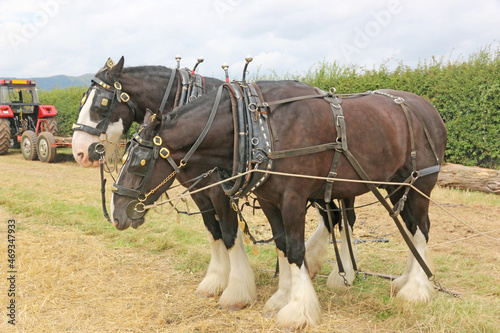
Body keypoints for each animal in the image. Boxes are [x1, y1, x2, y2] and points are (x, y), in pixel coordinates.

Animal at [112, 79, 446, 328]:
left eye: (139, 162)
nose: (116, 214)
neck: (260, 129)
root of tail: (429, 108)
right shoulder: (268, 200)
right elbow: (282, 246)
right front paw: (281, 297)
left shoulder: (292, 199)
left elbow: (292, 249)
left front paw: (296, 310)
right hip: (395, 185)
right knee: (409, 226)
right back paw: (403, 280)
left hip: (419, 184)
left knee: (422, 229)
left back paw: (416, 289)